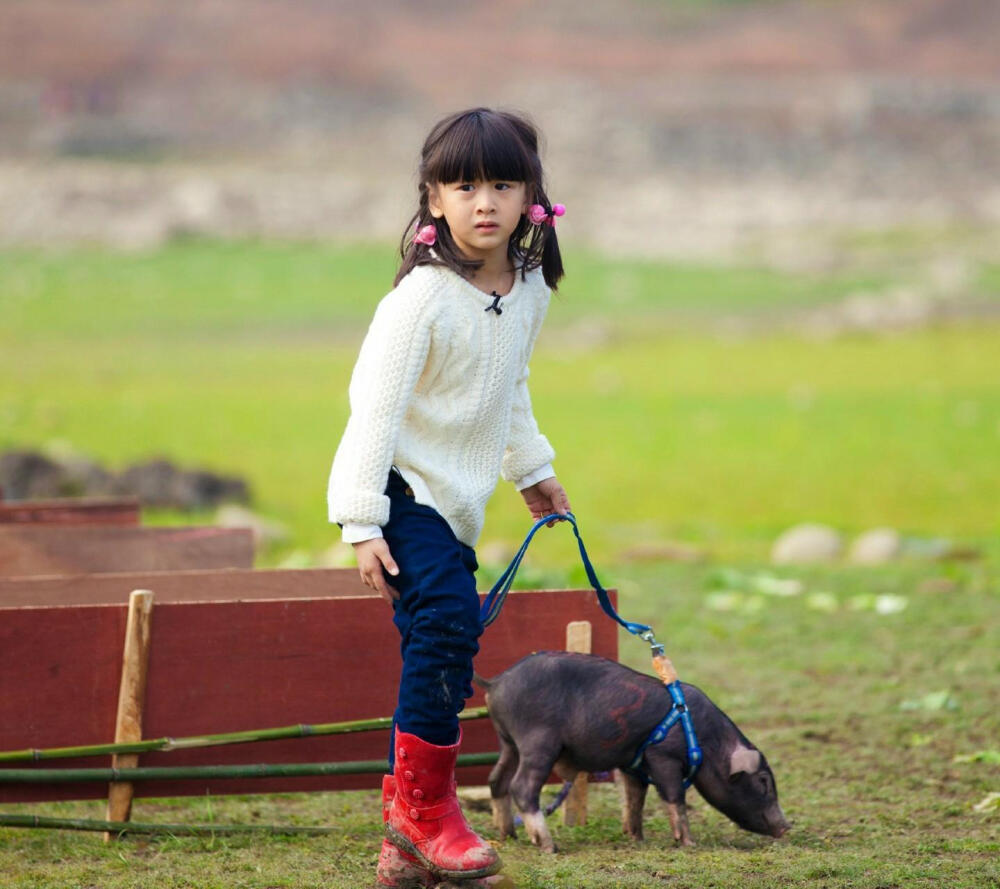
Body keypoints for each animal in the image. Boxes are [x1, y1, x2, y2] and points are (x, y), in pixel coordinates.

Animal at [476, 648, 788, 848]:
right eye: (763, 782)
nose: (787, 826)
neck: (703, 740)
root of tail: (496, 682)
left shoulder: (633, 762)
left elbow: (635, 798)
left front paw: (636, 838)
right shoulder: (663, 755)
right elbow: (674, 796)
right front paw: (688, 843)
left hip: (508, 742)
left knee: (496, 780)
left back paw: (508, 836)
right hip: (537, 741)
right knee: (522, 786)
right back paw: (548, 846)